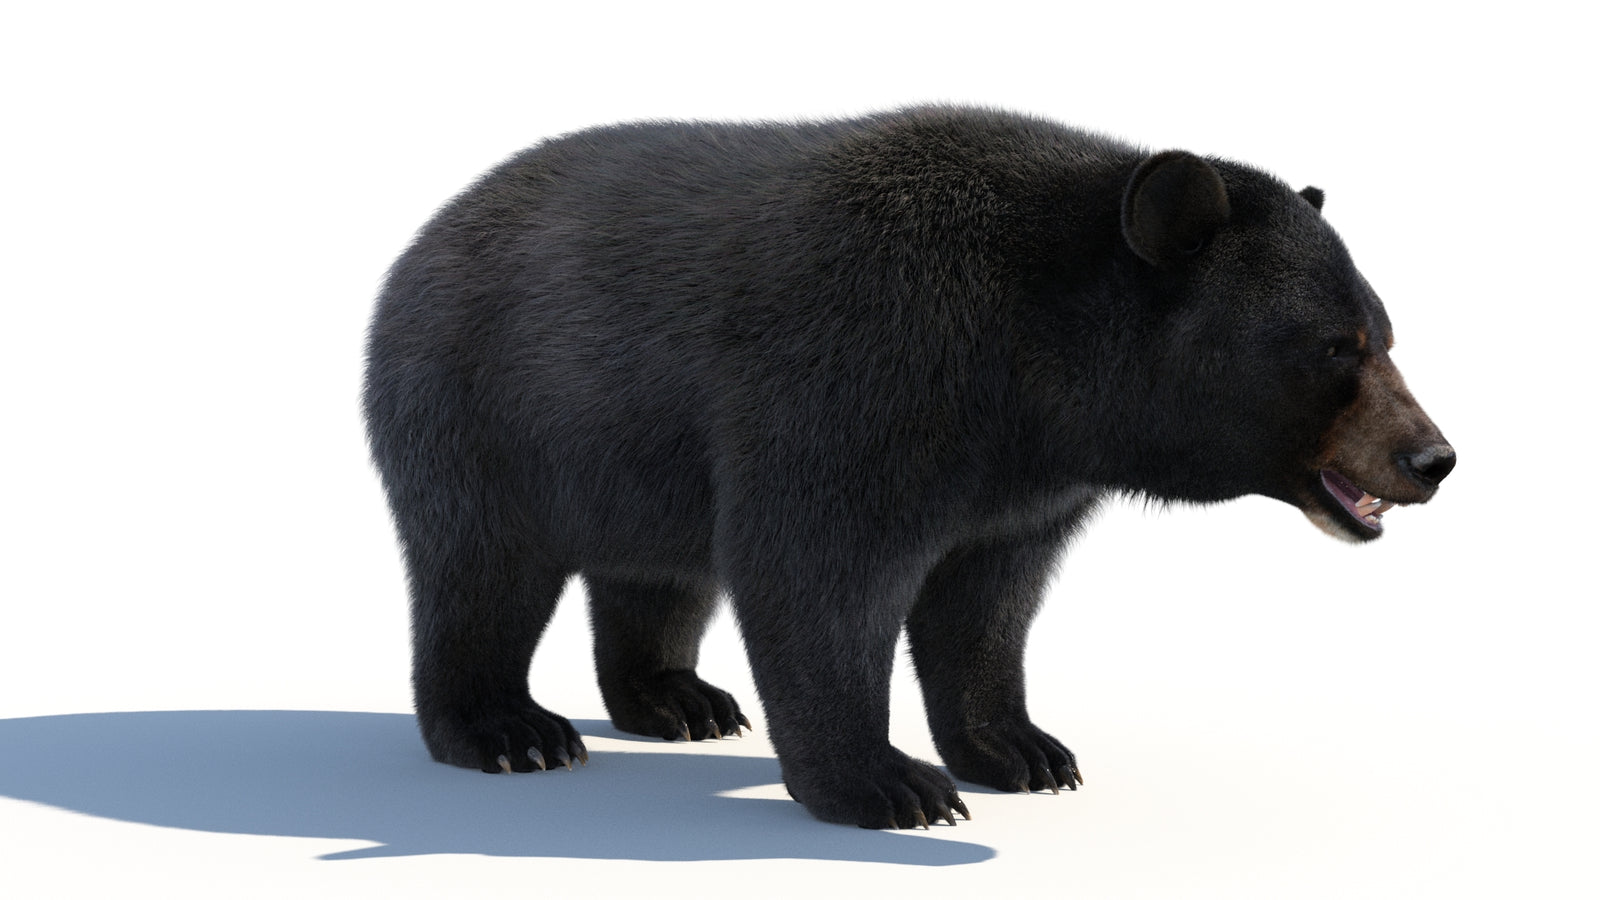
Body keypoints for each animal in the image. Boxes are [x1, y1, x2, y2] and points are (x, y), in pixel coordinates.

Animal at [362, 106, 1455, 830]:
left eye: (1385, 333)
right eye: (1336, 348)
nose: (1433, 457)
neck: (1033, 368)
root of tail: (432, 228)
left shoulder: (1022, 483)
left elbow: (989, 599)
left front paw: (1021, 748)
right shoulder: (858, 380)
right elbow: (818, 577)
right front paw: (885, 783)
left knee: (654, 573)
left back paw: (677, 698)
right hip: (484, 407)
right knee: (479, 570)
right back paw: (509, 730)